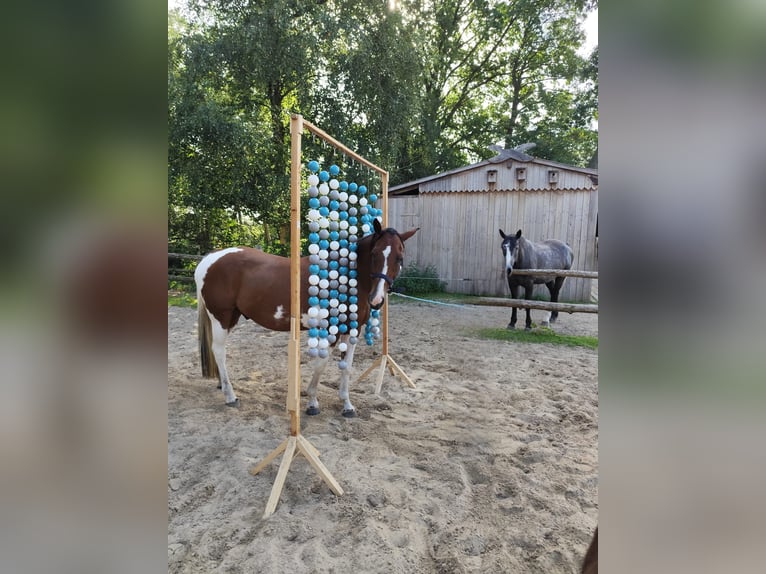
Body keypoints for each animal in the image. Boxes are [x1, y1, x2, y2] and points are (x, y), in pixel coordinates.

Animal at [194, 218, 419, 417]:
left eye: (399, 258)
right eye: (373, 254)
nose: (376, 299)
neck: (346, 279)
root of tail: (210, 258)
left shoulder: (351, 329)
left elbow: (347, 368)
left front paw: (347, 406)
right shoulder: (329, 329)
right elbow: (322, 363)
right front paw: (312, 403)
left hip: (232, 317)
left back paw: (221, 385)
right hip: (221, 317)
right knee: (219, 351)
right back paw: (230, 396)